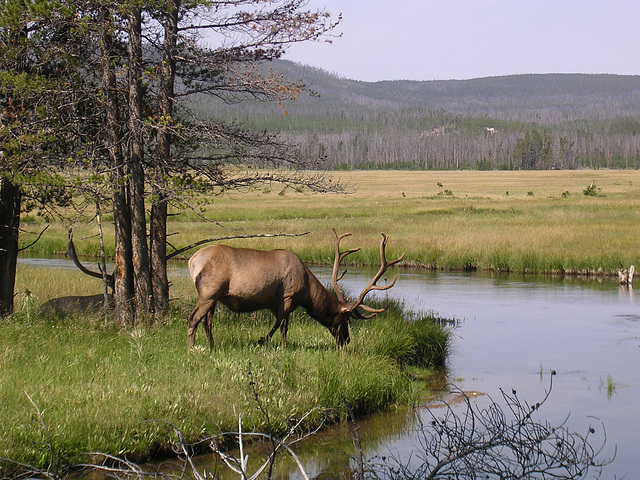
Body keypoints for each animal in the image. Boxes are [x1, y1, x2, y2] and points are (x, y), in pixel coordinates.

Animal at [186, 230, 404, 348]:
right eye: (345, 320)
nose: (346, 340)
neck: (307, 292)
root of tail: (193, 261)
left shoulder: (276, 303)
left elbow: (280, 323)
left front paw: (266, 341)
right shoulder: (288, 296)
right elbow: (283, 326)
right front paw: (270, 343)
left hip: (215, 298)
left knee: (207, 322)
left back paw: (213, 347)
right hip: (209, 293)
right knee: (193, 318)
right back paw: (191, 349)